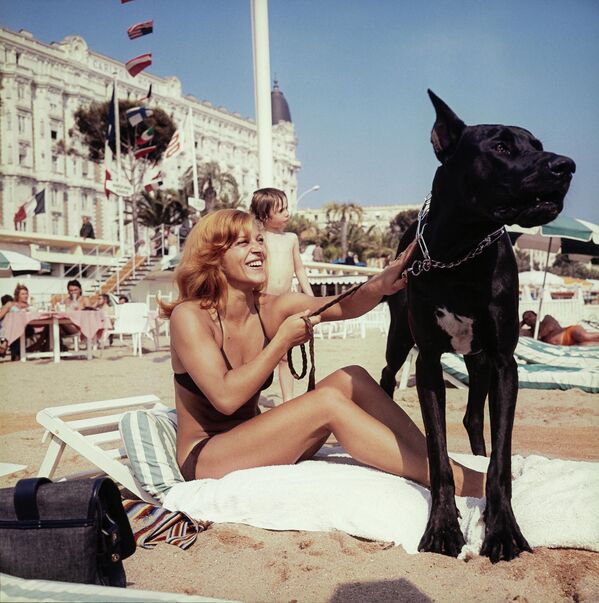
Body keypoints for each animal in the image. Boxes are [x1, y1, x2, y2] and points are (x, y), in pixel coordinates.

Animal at [382, 92, 576, 564]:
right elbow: (437, 455)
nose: (566, 166)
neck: (461, 252)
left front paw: (502, 528)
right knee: (387, 374)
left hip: (480, 361)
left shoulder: (504, 362)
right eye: (501, 147)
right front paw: (442, 527)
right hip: (400, 337)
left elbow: (500, 459)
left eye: (538, 144)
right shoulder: (429, 362)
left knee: (473, 417)